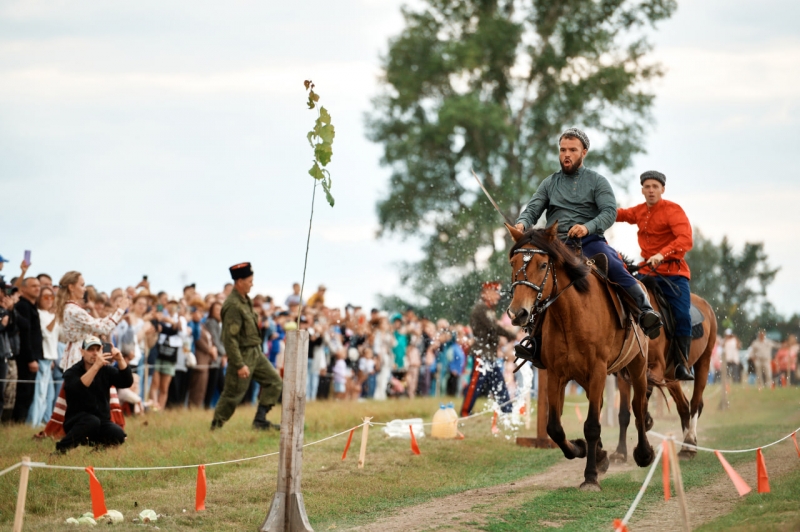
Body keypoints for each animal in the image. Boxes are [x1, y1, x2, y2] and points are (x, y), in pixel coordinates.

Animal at [506, 224, 656, 490]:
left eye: (543, 265)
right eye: (513, 263)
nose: (517, 313)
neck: (571, 314)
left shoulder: (597, 371)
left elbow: (593, 425)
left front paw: (590, 477)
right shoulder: (556, 374)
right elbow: (554, 427)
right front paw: (581, 449)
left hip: (637, 366)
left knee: (639, 408)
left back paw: (643, 453)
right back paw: (603, 455)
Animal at [608, 278, 716, 462]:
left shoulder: (655, 367)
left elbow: (642, 398)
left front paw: (646, 421)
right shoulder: (625, 374)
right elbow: (624, 413)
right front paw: (620, 452)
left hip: (704, 360)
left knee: (695, 403)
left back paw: (690, 443)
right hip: (671, 374)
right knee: (683, 405)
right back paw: (685, 445)